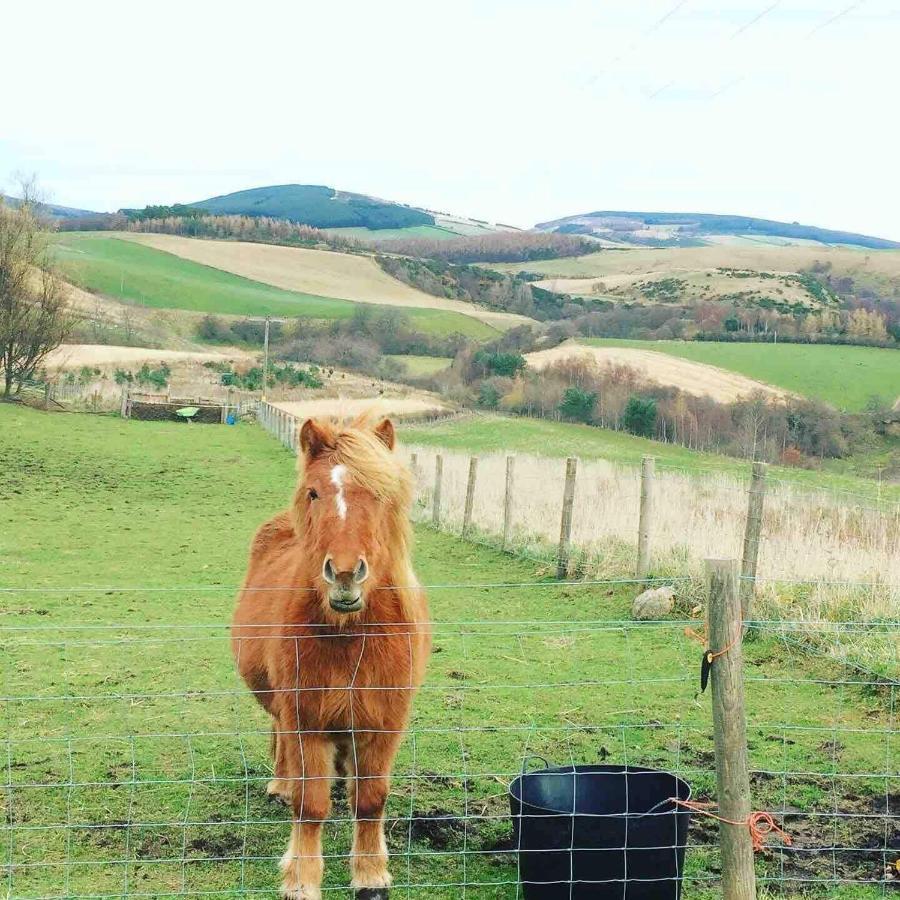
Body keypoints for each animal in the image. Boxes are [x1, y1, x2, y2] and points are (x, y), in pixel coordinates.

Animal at [230, 418, 430, 896]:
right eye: (314, 493)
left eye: (378, 494)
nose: (343, 573)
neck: (350, 636)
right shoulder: (306, 718)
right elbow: (310, 804)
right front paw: (301, 879)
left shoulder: (383, 723)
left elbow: (371, 799)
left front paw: (371, 874)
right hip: (286, 709)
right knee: (281, 737)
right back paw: (281, 784)